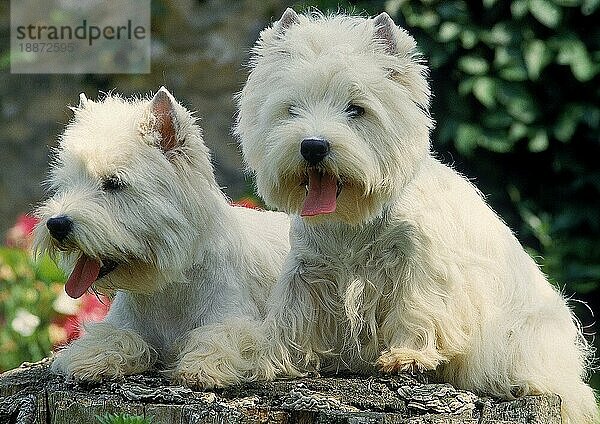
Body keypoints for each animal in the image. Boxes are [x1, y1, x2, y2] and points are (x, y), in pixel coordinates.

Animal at [236, 8, 600, 422]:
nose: (313, 146)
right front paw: (262, 357)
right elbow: (289, 320)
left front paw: (405, 357)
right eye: (291, 108)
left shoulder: (422, 263)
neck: (353, 219)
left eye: (356, 109)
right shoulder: (307, 270)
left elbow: (416, 306)